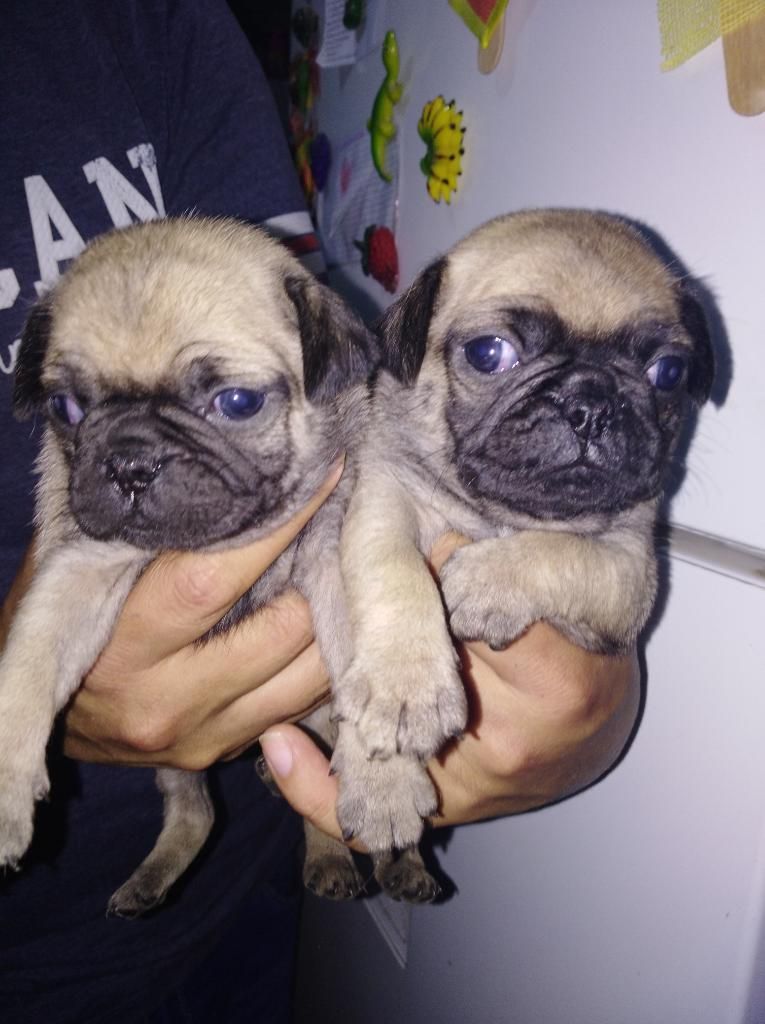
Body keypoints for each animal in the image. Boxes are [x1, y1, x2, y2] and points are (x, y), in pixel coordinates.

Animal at [0, 214, 378, 913]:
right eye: (66, 409)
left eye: (236, 403)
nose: (129, 462)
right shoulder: (81, 567)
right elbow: (29, 667)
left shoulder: (331, 542)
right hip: (180, 762)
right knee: (194, 811)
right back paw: (151, 882)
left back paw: (366, 862)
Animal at [331, 207, 716, 897]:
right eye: (490, 355)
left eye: (668, 373)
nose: (592, 404)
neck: (499, 513)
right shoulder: (382, 496)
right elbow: (395, 573)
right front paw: (402, 692)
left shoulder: (631, 568)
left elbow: (563, 554)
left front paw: (479, 583)